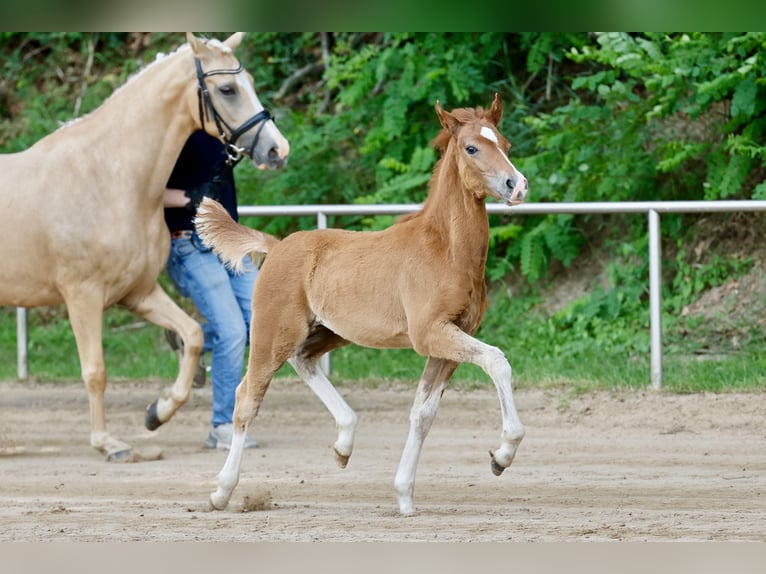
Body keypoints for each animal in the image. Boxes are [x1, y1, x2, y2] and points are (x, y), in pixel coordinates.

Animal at [0, 33, 289, 461]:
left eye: (250, 80)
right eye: (228, 89)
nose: (277, 150)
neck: (110, 178)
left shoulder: (138, 293)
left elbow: (193, 336)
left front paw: (158, 412)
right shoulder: (82, 296)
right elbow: (96, 371)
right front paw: (108, 443)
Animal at [195, 93, 527, 515]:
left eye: (506, 144)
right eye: (472, 148)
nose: (517, 185)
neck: (446, 250)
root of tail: (277, 245)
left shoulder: (451, 339)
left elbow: (423, 413)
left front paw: (405, 496)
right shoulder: (430, 334)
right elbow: (497, 361)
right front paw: (503, 454)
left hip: (329, 332)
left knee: (304, 360)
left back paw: (343, 444)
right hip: (273, 332)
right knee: (247, 398)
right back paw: (221, 491)